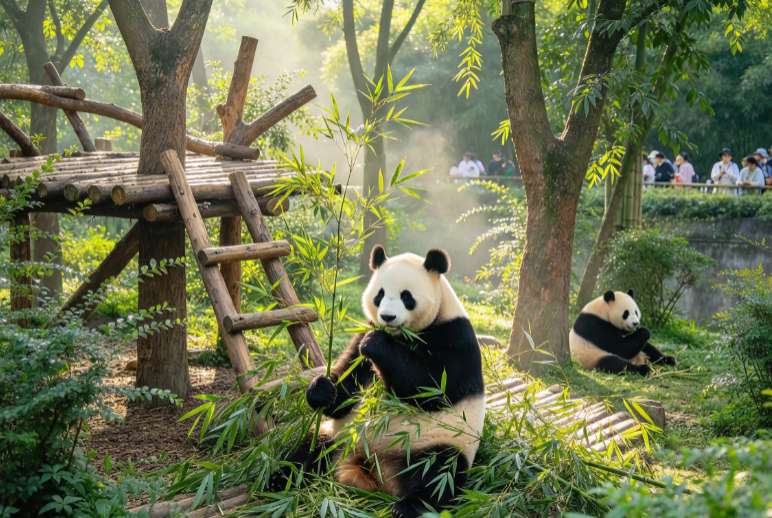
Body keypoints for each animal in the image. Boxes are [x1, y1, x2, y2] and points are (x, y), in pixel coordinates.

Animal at [275, 245, 485, 518]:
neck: (403, 335)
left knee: (440, 473)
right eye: (380, 294)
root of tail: (372, 467)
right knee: (309, 449)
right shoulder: (362, 334)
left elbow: (431, 388)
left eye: (407, 296)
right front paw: (322, 390)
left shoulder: (455, 337)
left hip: (436, 442)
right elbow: (348, 382)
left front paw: (378, 344)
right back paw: (281, 478)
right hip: (337, 435)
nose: (387, 316)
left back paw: (408, 506)